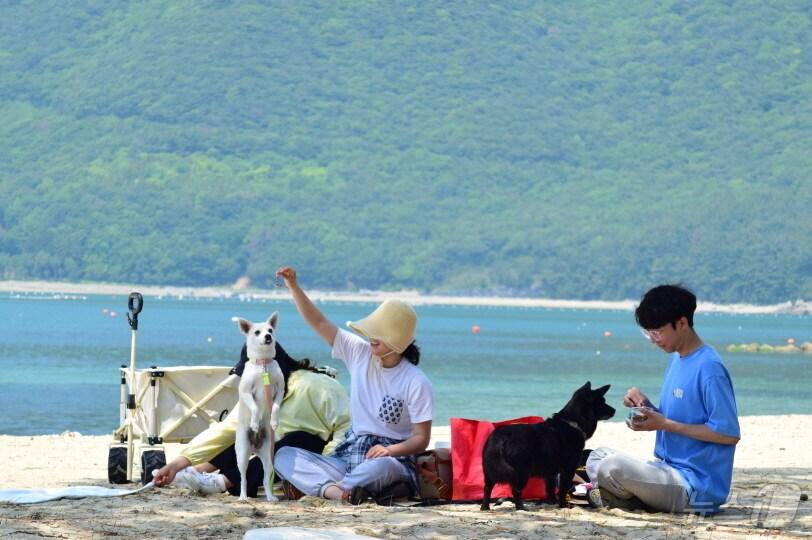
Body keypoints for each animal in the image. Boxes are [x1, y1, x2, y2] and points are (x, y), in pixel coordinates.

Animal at [232, 312, 286, 502]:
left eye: (270, 330)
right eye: (257, 332)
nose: (268, 336)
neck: (263, 364)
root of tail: (254, 448)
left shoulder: (279, 390)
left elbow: (275, 407)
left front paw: (275, 422)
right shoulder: (246, 392)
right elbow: (255, 407)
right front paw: (255, 423)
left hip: (268, 458)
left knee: (265, 477)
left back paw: (270, 496)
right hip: (242, 455)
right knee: (243, 478)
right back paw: (243, 496)